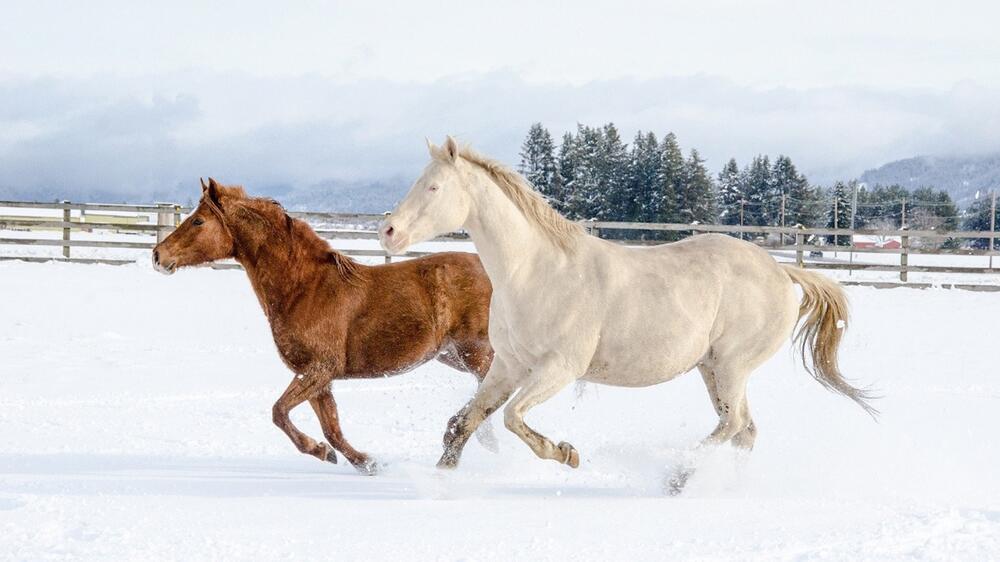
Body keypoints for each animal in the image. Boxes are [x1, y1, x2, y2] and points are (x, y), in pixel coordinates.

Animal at [154, 179, 494, 472]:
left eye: (199, 221)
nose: (158, 256)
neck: (305, 287)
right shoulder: (318, 377)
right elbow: (332, 429)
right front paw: (362, 462)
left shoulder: (320, 367)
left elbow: (279, 412)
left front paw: (324, 451)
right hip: (452, 355)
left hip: (475, 352)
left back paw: (453, 448)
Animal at [378, 138, 872, 470]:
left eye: (434, 188)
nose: (388, 232)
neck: (536, 272)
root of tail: (782, 272)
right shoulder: (509, 365)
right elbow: (466, 422)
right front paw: (443, 478)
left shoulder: (560, 368)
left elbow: (513, 419)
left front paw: (566, 453)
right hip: (713, 368)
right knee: (743, 430)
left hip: (732, 366)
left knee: (733, 427)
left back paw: (678, 475)